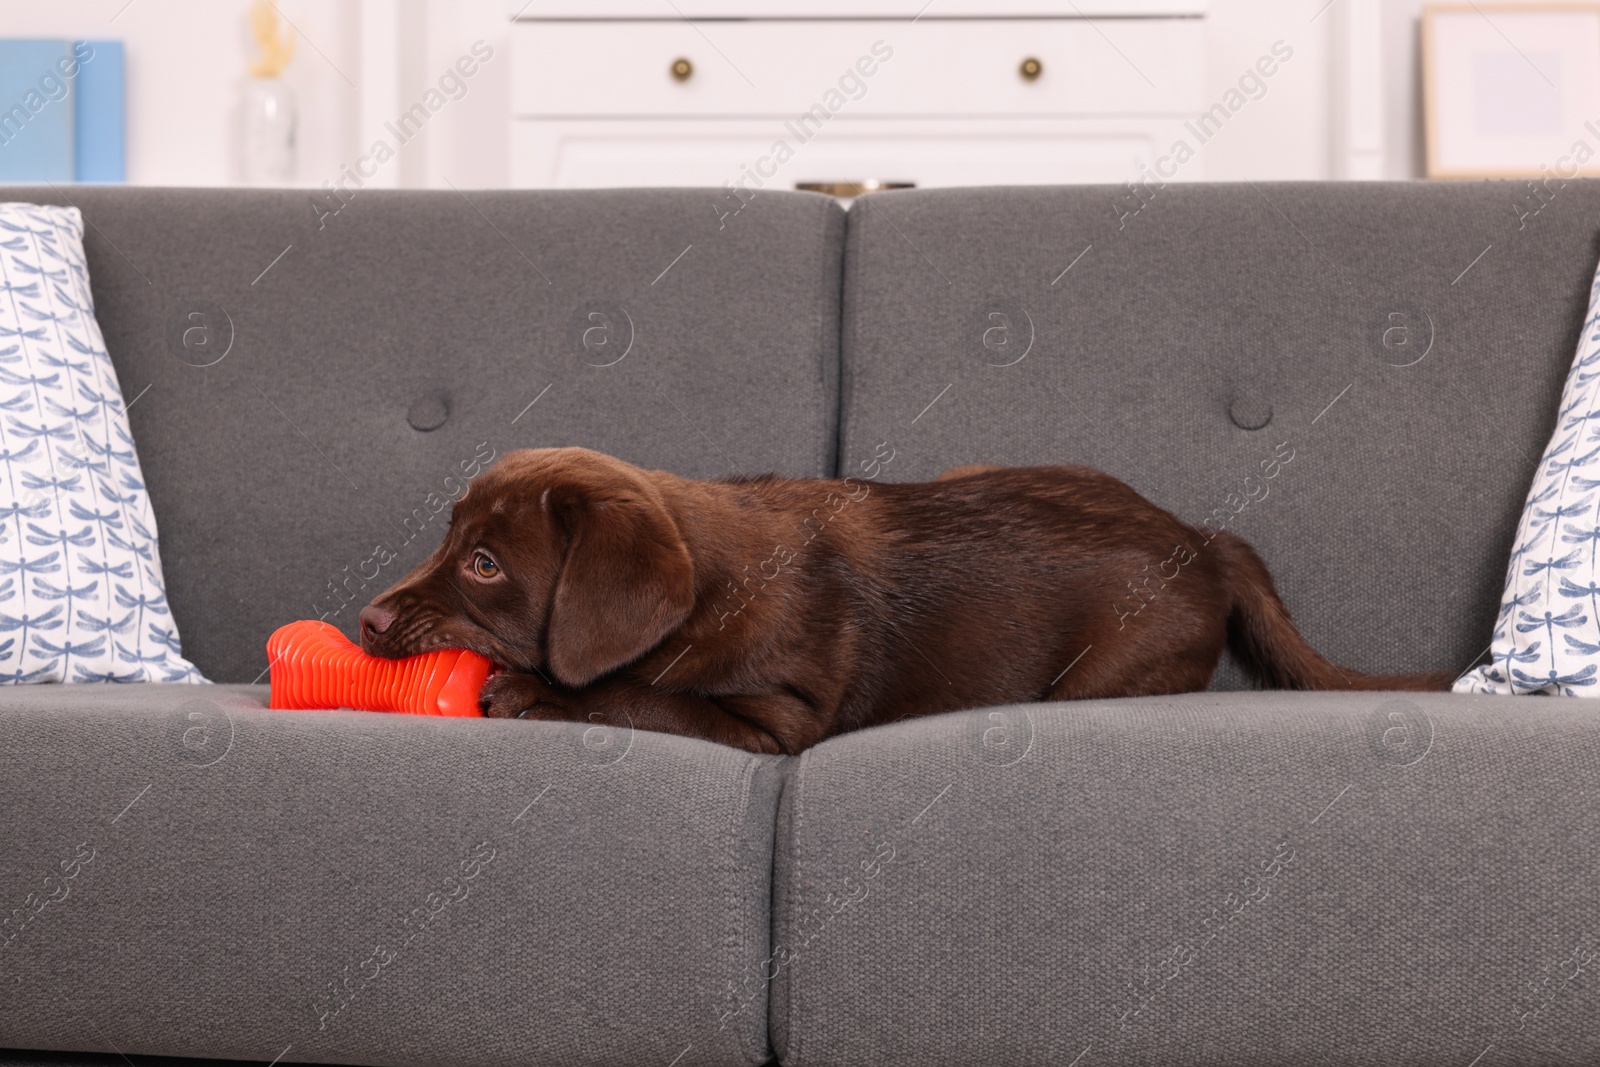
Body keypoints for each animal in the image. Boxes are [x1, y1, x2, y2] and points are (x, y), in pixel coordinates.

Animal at [356, 447, 1459, 755]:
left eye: (486, 563)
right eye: (451, 538)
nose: (365, 621)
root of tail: (1203, 537)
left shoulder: (777, 721)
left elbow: (641, 693)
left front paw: (533, 692)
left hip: (1104, 666)